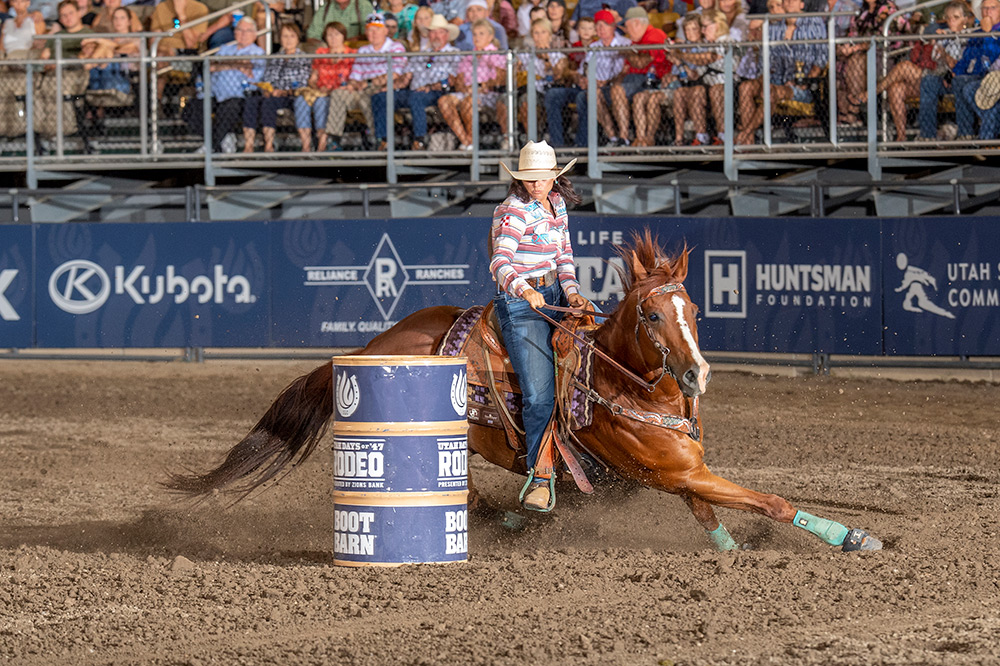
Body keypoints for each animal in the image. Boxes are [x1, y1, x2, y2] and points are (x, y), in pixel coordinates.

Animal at [170, 232, 884, 548]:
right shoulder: (672, 472)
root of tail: (370, 348)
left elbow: (713, 515)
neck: (624, 386)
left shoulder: (683, 472)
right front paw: (852, 536)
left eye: (695, 311)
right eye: (651, 315)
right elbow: (769, 501)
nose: (696, 376)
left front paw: (733, 555)